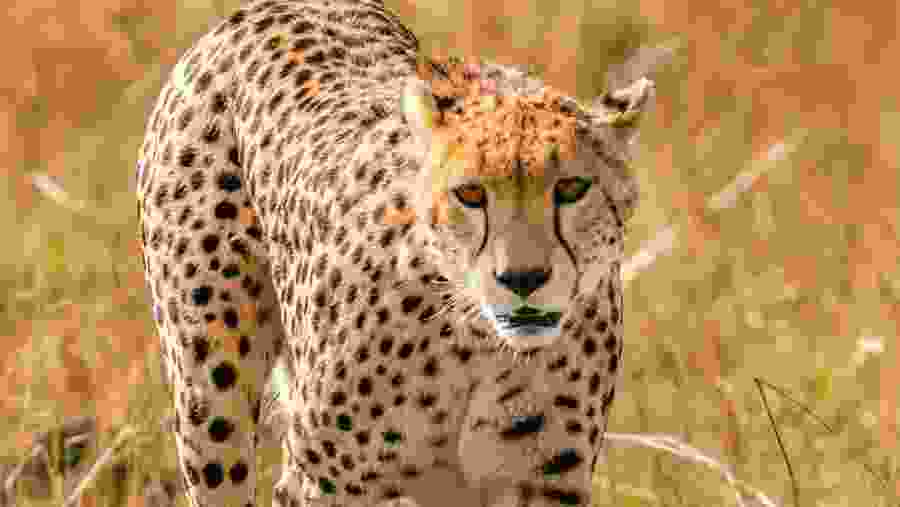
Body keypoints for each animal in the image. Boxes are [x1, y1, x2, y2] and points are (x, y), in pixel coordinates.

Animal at [136, 0, 657, 506]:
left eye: (571, 188)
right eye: (471, 194)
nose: (523, 279)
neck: (480, 348)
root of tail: (268, 8)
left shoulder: (544, 482)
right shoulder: (325, 483)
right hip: (209, 399)